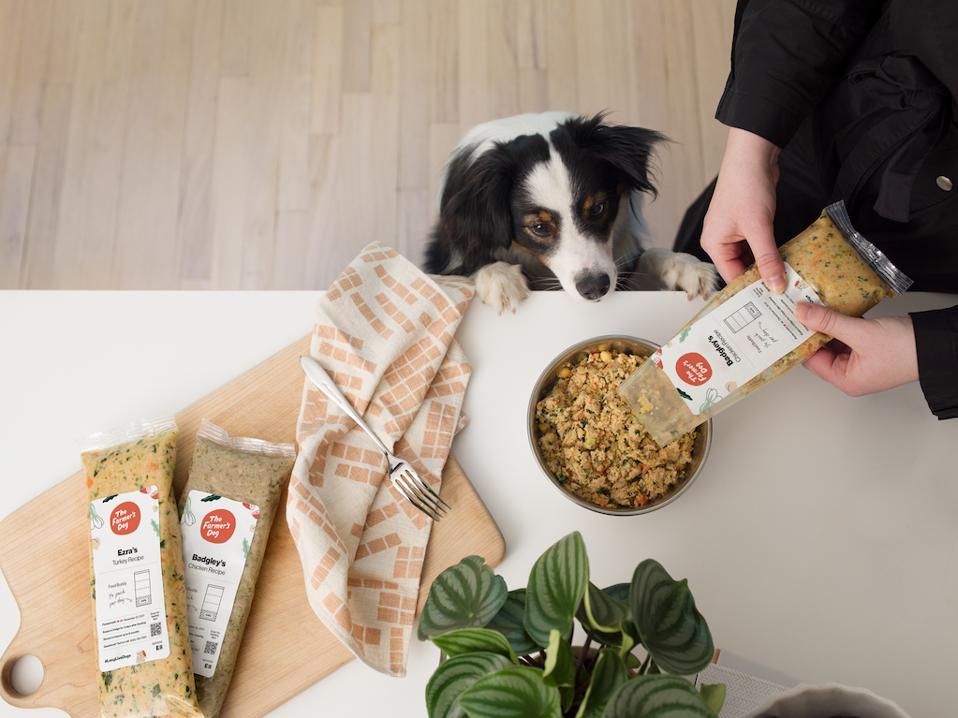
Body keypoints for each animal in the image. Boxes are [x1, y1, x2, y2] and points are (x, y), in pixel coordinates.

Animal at [428, 112, 720, 312]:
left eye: (598, 208)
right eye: (540, 227)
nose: (595, 289)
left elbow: (648, 255)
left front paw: (687, 267)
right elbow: (462, 272)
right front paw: (500, 278)